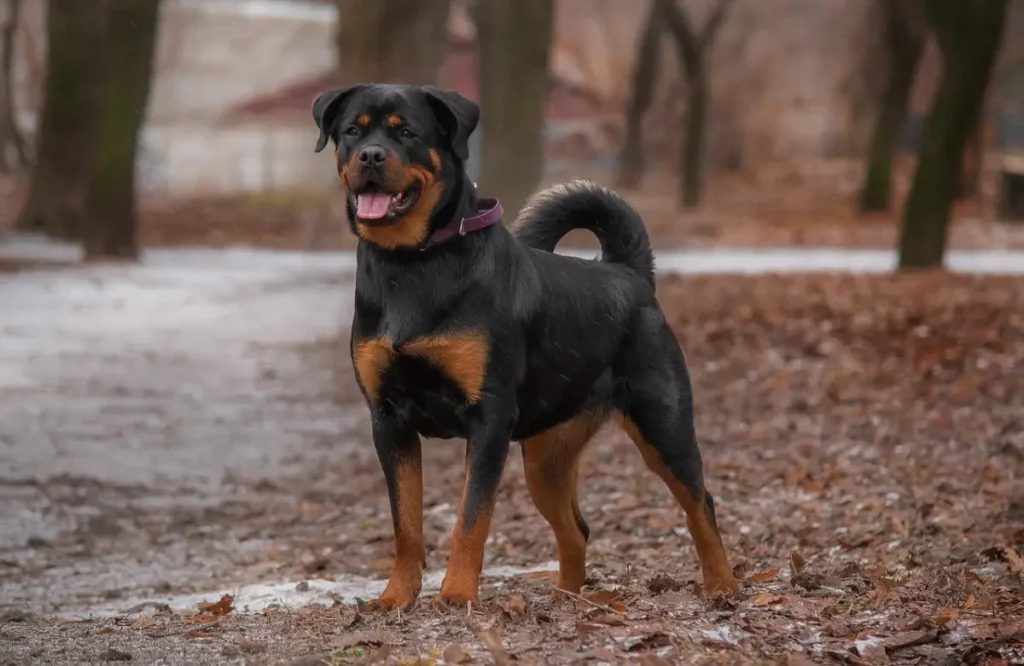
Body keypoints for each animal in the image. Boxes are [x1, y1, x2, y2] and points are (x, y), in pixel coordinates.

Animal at [311, 81, 737, 606]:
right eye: (353, 130)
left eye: (406, 132)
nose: (370, 155)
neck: (413, 263)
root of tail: (629, 273)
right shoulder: (389, 421)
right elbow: (405, 525)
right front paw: (397, 597)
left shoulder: (489, 418)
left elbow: (471, 519)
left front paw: (457, 595)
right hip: (545, 458)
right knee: (577, 529)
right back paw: (567, 600)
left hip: (663, 425)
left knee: (701, 504)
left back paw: (723, 586)